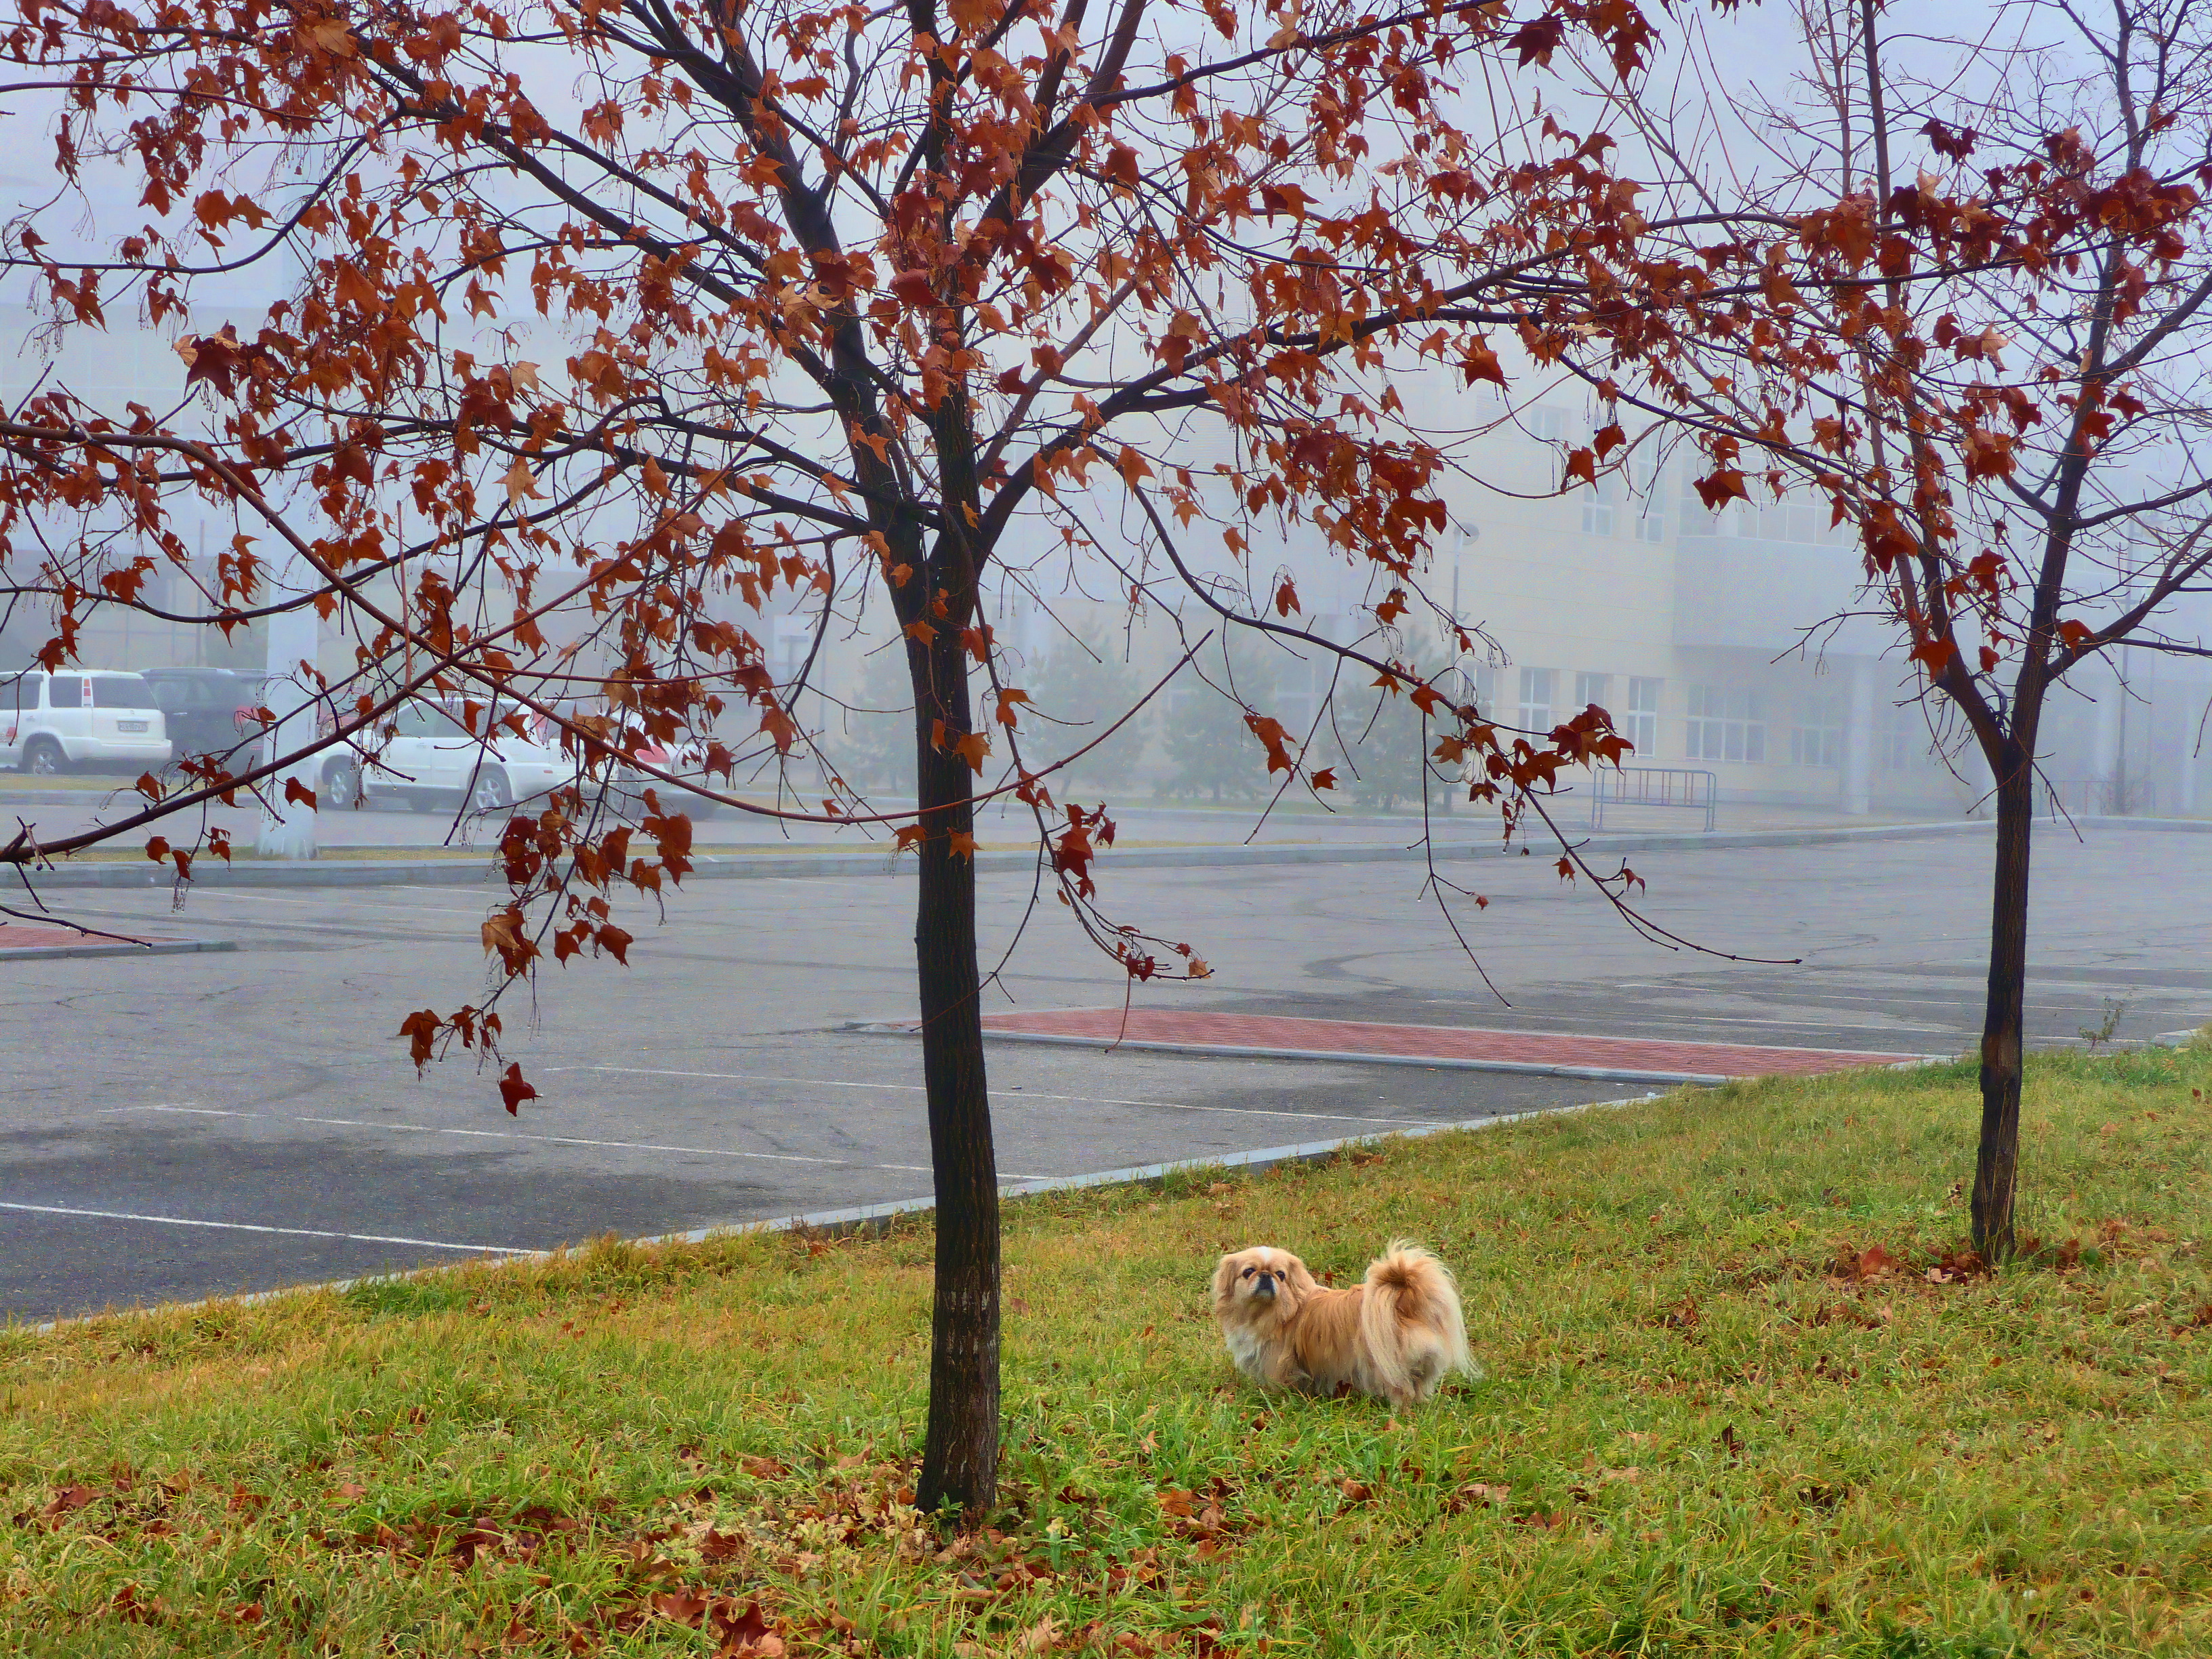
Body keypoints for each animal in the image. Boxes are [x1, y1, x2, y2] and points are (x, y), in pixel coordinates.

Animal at [1212, 1238, 1469, 1406]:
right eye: (1248, 1272)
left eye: (1281, 1275)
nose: (1266, 1275)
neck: (1268, 1313)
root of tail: (1403, 1302)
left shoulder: (1277, 1362)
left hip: (1386, 1366)